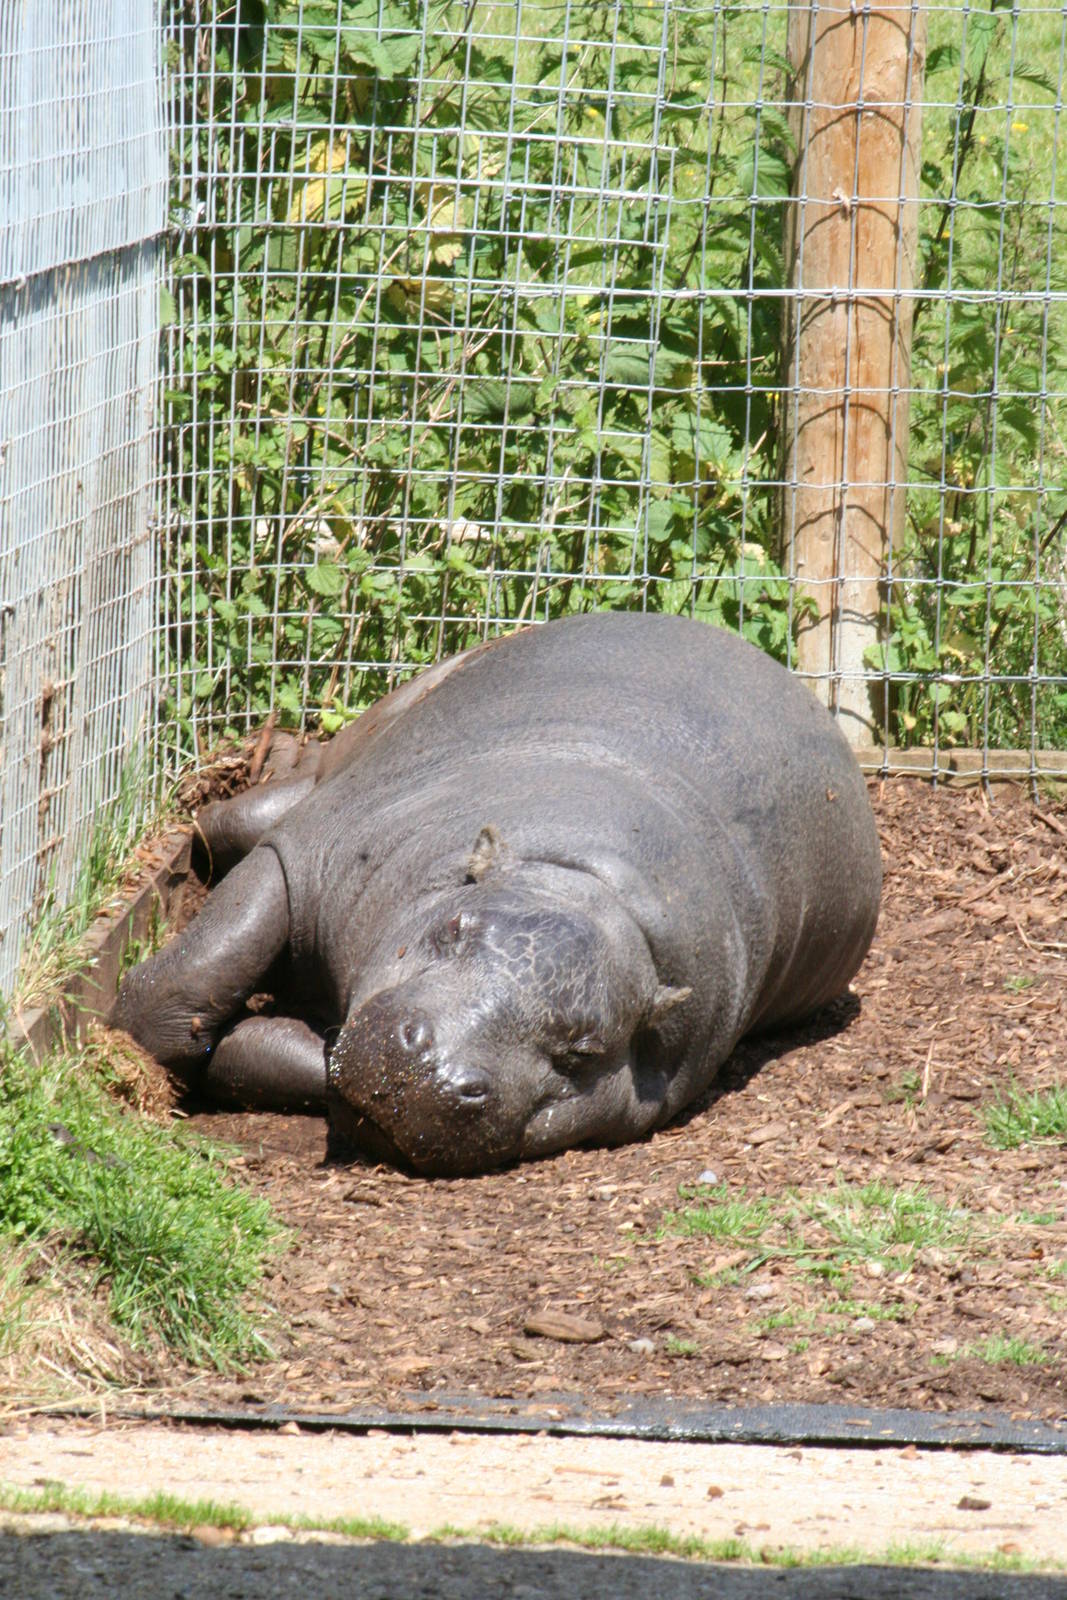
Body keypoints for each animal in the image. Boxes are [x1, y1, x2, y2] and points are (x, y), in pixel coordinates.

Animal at [112, 612, 881, 1175]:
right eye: (453, 928)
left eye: (584, 1050)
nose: (437, 1072)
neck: (584, 882)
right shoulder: (308, 857)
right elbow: (203, 963)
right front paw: (131, 1048)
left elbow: (314, 1059)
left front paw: (250, 1044)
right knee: (239, 820)